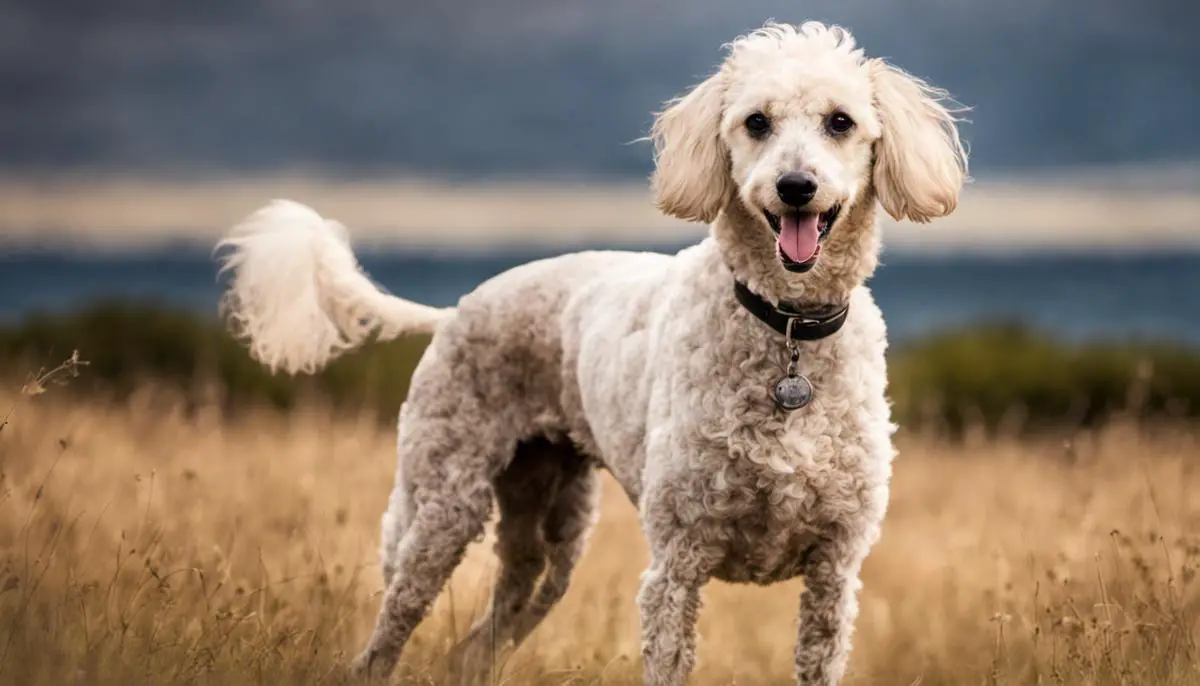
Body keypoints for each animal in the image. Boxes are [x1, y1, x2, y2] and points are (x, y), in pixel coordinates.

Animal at [216, 18, 964, 681]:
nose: (795, 187)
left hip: (550, 528)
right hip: (442, 499)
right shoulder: (677, 563)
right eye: (756, 123)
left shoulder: (834, 573)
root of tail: (457, 309)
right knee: (392, 625)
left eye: (840, 122)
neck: (785, 331)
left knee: (483, 636)